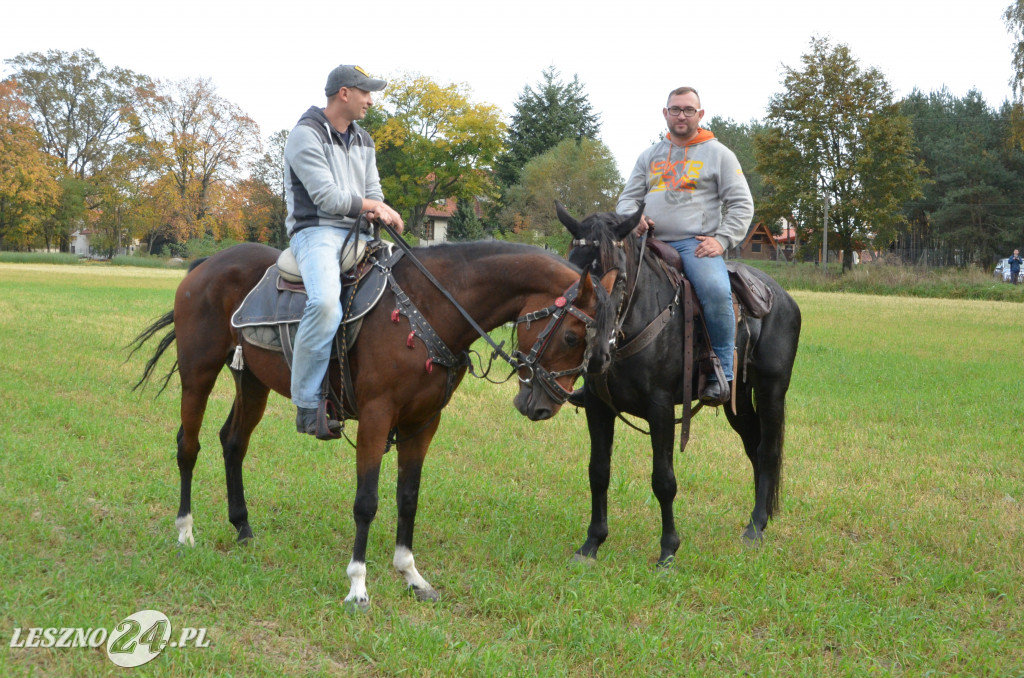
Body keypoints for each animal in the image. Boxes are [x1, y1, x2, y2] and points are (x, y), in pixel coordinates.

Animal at [130, 240, 614, 610]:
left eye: (599, 349)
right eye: (572, 336)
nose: (544, 407)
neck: (428, 308)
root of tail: (207, 264)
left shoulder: (423, 423)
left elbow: (408, 498)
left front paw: (412, 575)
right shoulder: (377, 417)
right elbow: (366, 502)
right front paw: (358, 586)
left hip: (251, 381)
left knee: (232, 443)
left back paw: (243, 528)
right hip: (198, 372)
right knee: (188, 445)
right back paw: (185, 531)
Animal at [557, 206, 802, 569]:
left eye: (619, 277)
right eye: (575, 272)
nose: (595, 353)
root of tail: (782, 297)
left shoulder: (660, 410)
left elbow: (664, 480)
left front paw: (668, 550)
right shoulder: (598, 407)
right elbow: (598, 471)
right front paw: (591, 544)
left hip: (772, 390)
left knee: (768, 451)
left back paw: (756, 527)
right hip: (739, 401)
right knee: (754, 447)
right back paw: (760, 518)